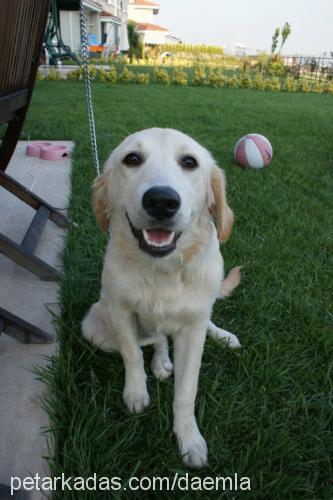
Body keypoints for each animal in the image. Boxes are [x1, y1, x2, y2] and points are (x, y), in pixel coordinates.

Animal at [81, 126, 240, 468]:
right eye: (132, 158)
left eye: (190, 162)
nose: (161, 201)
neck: (162, 270)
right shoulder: (120, 310)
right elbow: (132, 355)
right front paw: (136, 393)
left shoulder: (193, 333)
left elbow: (186, 392)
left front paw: (189, 438)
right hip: (95, 328)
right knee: (155, 339)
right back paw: (161, 361)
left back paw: (223, 336)